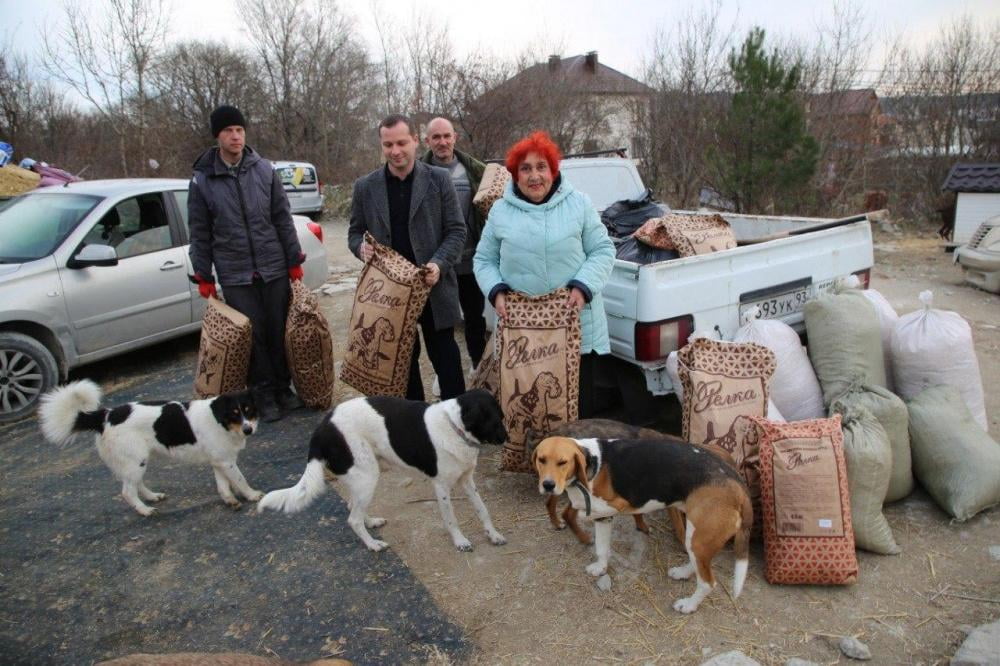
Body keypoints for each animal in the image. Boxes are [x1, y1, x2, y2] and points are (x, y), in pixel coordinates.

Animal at [41, 378, 264, 512]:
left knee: (136, 484)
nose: (248, 430)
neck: (219, 420)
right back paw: (145, 510)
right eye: (234, 413)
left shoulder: (219, 460)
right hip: (135, 460)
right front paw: (252, 495)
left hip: (136, 462)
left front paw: (229, 499)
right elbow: (240, 480)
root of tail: (106, 415)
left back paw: (152, 497)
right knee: (127, 491)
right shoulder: (226, 462)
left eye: (248, 409)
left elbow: (223, 484)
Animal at [258, 390, 508, 548]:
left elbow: (482, 509)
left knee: (353, 507)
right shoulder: (441, 487)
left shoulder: (467, 480)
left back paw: (371, 523)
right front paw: (460, 541)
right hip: (367, 476)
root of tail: (322, 428)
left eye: (502, 417)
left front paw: (493, 535)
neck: (454, 427)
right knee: (353, 519)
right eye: (493, 421)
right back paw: (373, 544)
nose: (507, 438)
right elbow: (451, 519)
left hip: (359, 476)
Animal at [532, 436, 752, 612]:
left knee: (707, 583)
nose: (548, 485)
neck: (591, 461)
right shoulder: (603, 520)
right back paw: (682, 573)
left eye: (563, 462)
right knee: (697, 563)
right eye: (541, 460)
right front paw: (601, 568)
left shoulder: (614, 506)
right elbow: (601, 549)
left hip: (699, 538)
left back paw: (688, 605)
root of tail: (738, 486)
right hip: (697, 538)